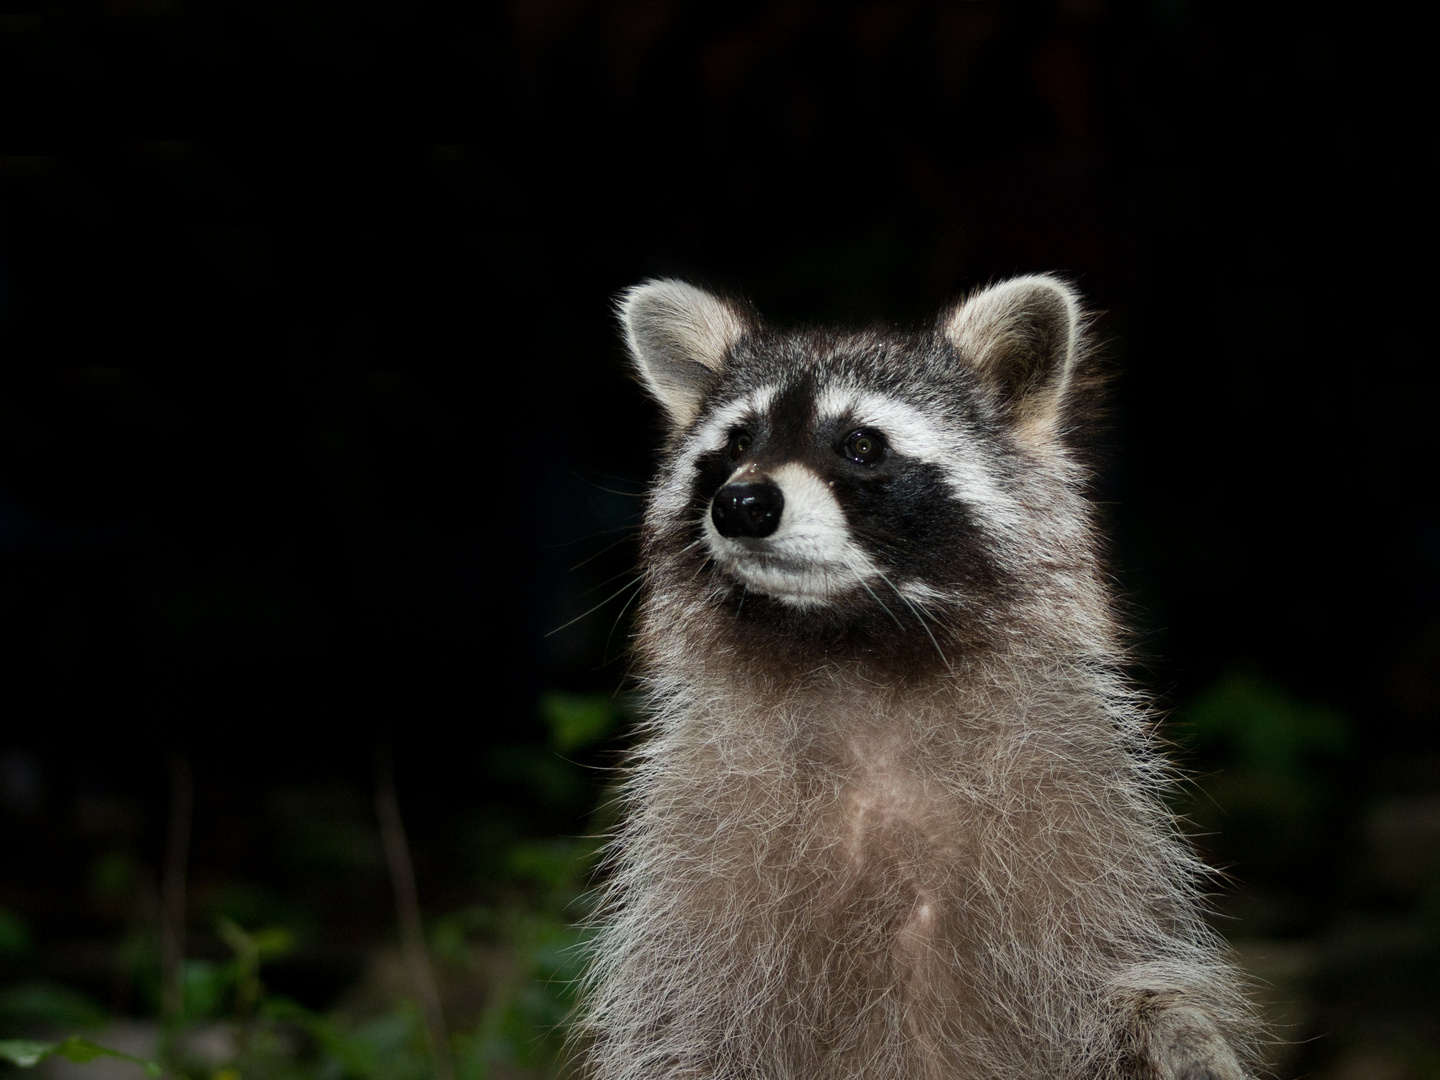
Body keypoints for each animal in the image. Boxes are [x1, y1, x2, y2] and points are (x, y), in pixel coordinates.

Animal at [578, 279, 1267, 1080]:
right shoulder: (693, 855)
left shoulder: (1088, 824)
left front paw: (1184, 1035)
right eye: (737, 444)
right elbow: (681, 1030)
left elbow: (1134, 984)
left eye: (861, 444)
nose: (742, 504)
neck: (853, 649)